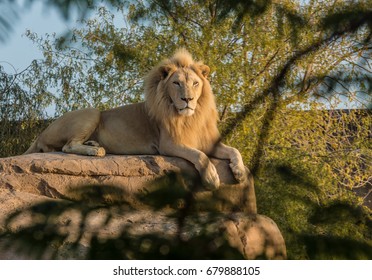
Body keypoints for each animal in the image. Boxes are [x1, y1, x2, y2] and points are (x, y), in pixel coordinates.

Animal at [25, 49, 247, 189]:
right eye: (176, 83)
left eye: (195, 84)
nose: (188, 99)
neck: (191, 118)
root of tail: (40, 134)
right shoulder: (168, 144)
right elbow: (199, 156)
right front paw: (212, 179)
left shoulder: (208, 142)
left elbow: (234, 150)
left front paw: (239, 172)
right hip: (92, 112)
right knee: (67, 146)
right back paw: (96, 150)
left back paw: (93, 143)